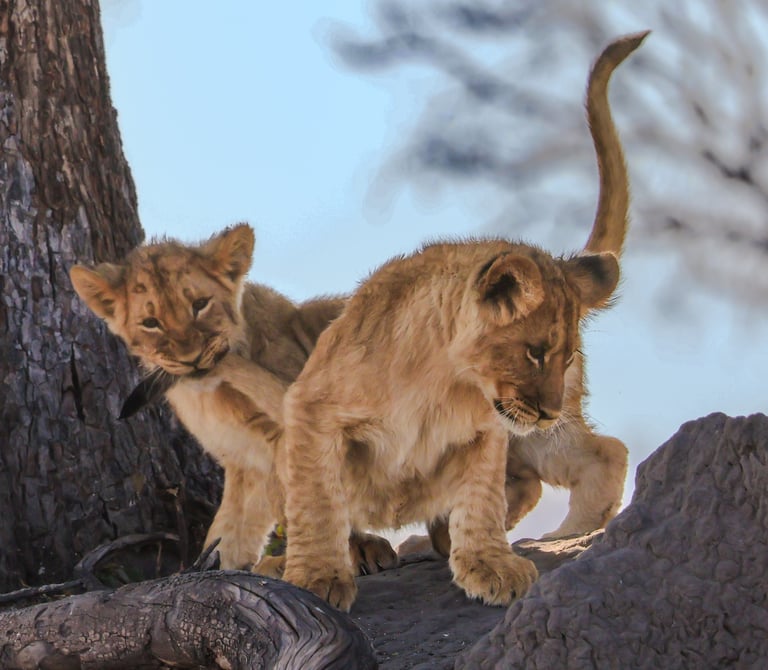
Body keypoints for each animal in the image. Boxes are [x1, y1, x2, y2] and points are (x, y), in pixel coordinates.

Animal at [69, 224, 397, 575]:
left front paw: (348, 554)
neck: (210, 395)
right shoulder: (244, 459)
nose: (191, 358)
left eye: (200, 304)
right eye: (150, 323)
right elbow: (230, 527)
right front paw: (212, 566)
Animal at [281, 32, 647, 611]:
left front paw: (490, 566)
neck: (443, 382)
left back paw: (556, 535)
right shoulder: (310, 408)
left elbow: (480, 496)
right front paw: (317, 576)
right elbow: (316, 498)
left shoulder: (488, 431)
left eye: (561, 357)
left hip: (535, 432)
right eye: (534, 352)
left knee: (597, 454)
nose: (546, 408)